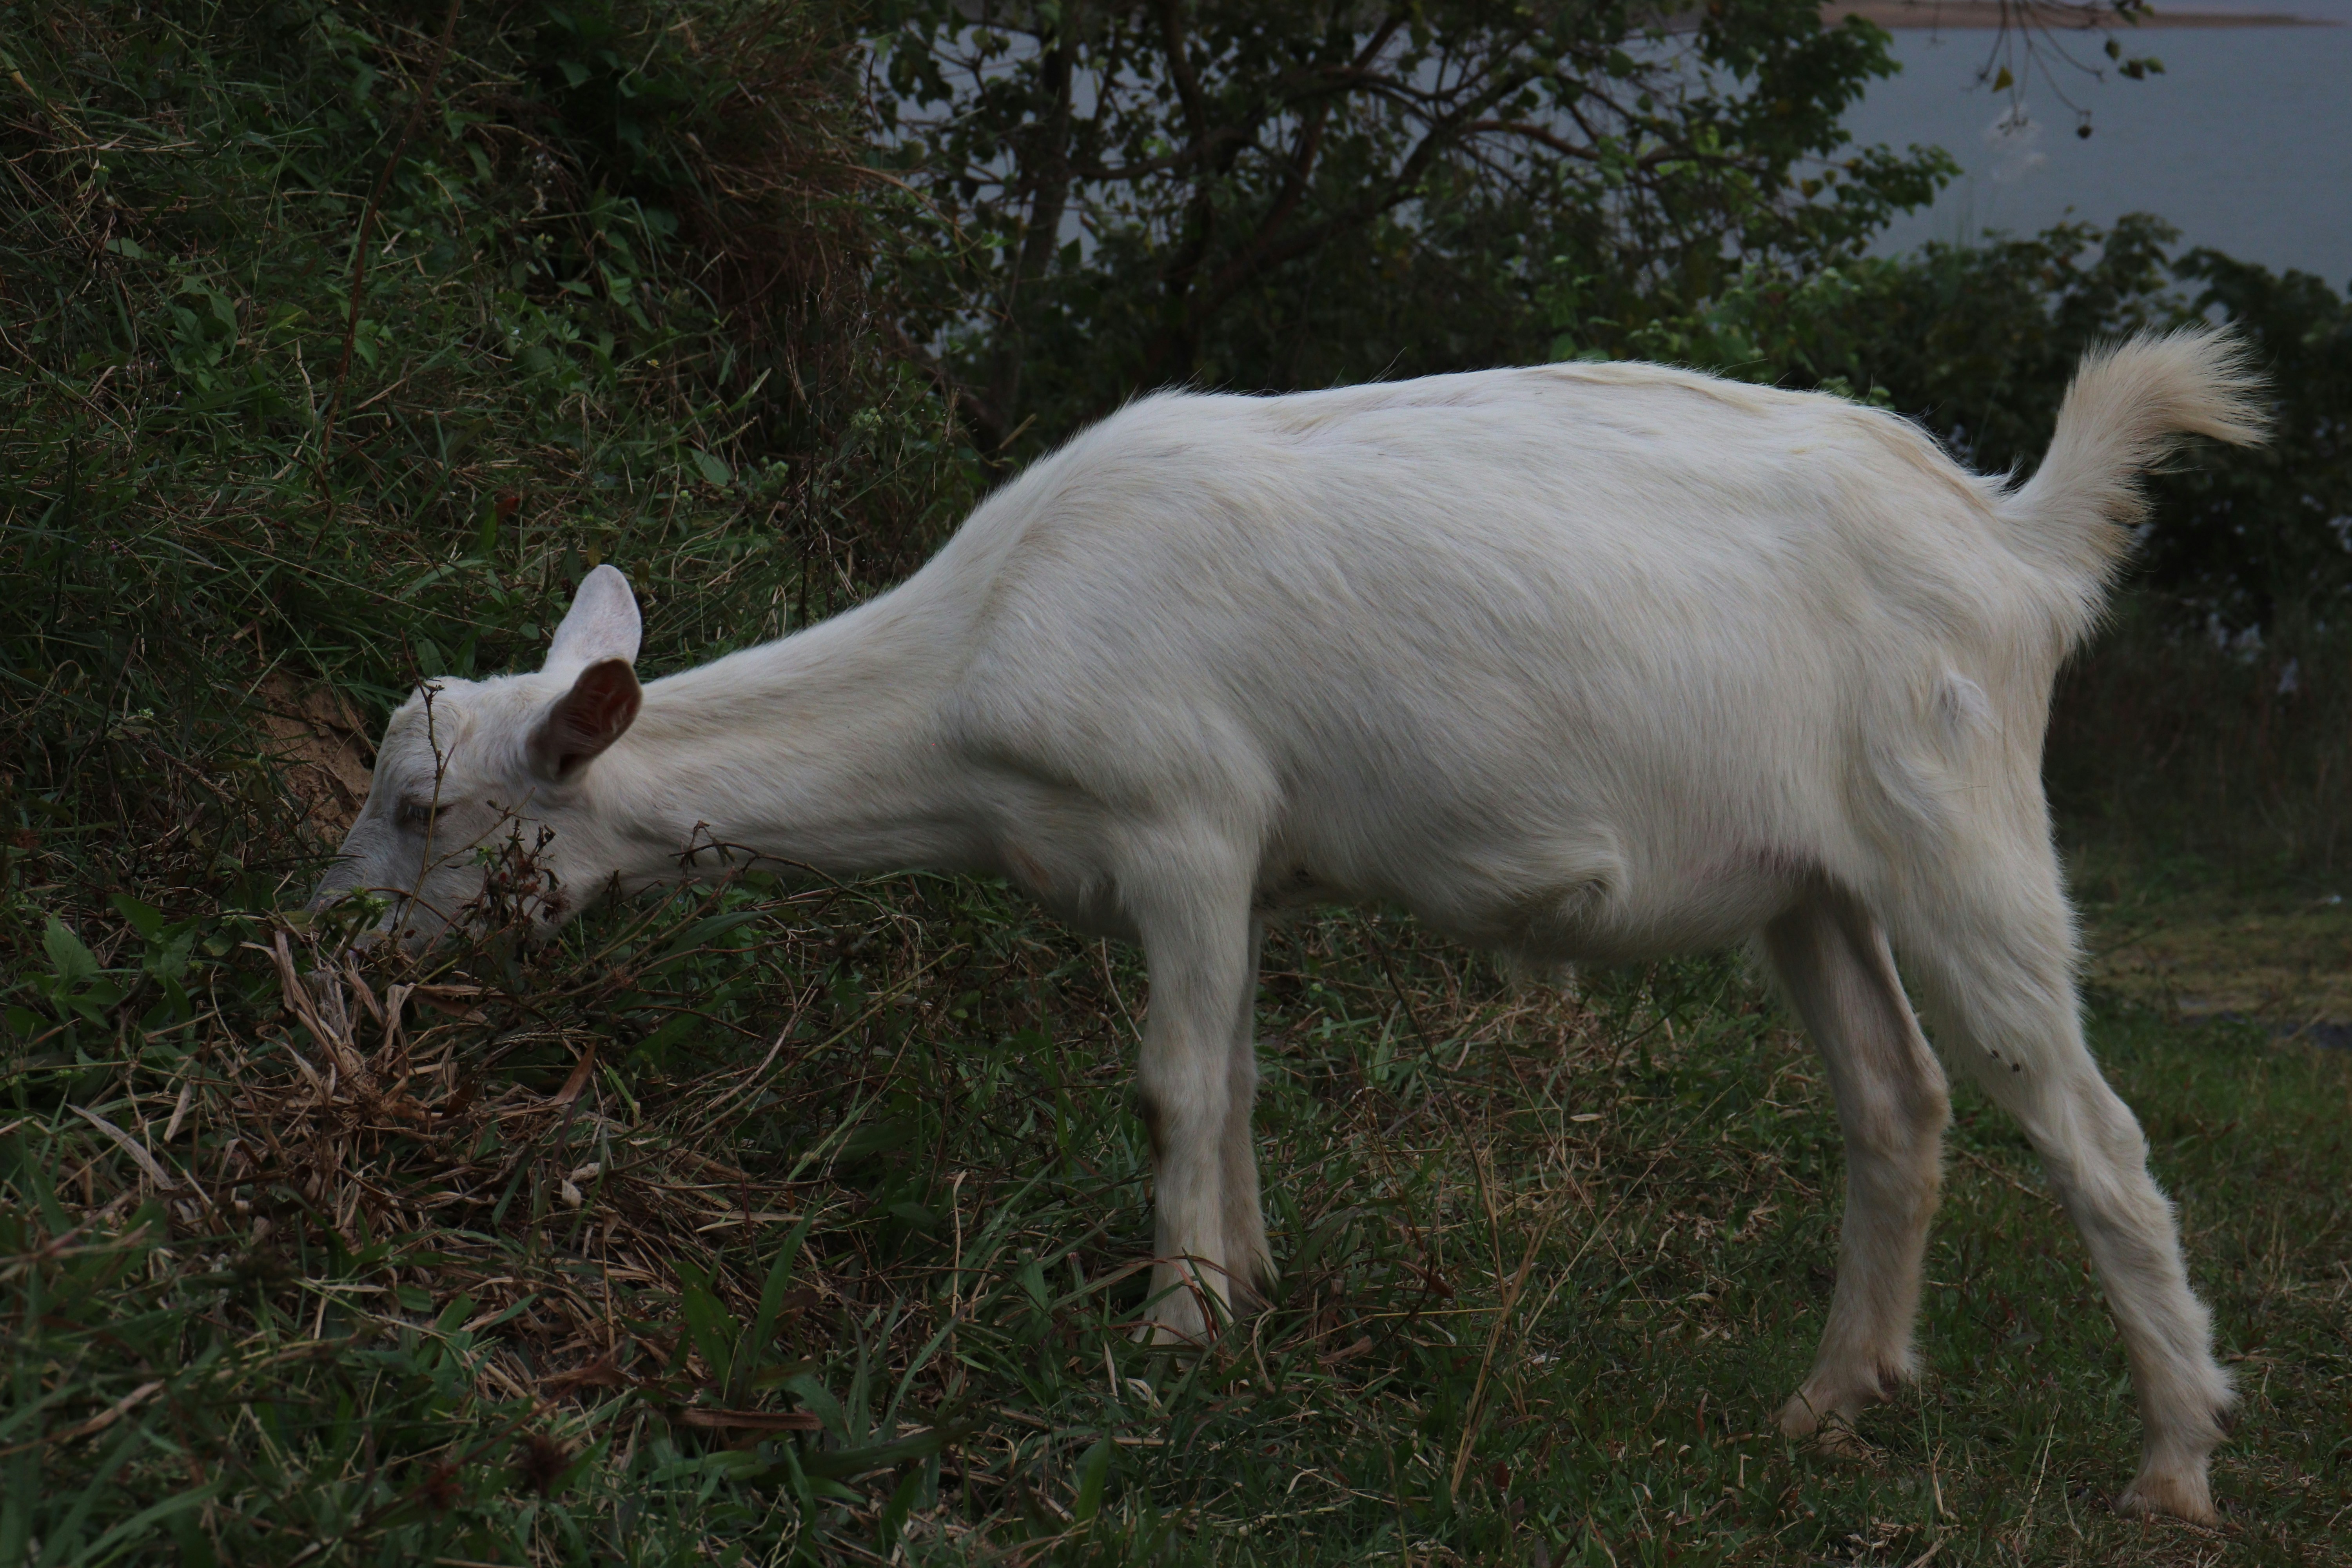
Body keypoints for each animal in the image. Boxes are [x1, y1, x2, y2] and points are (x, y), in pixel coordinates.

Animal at [312, 331, 2263, 1522]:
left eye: (418, 806)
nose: (325, 949)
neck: (978, 650)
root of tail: (2015, 538)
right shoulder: (1240, 871)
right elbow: (1238, 1079)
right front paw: (1244, 1286)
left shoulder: (1183, 822)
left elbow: (1175, 1082)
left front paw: (1173, 1332)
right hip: (1813, 882)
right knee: (1897, 1103)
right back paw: (1832, 1397)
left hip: (1961, 826)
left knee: (2090, 1130)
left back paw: (2175, 1459)